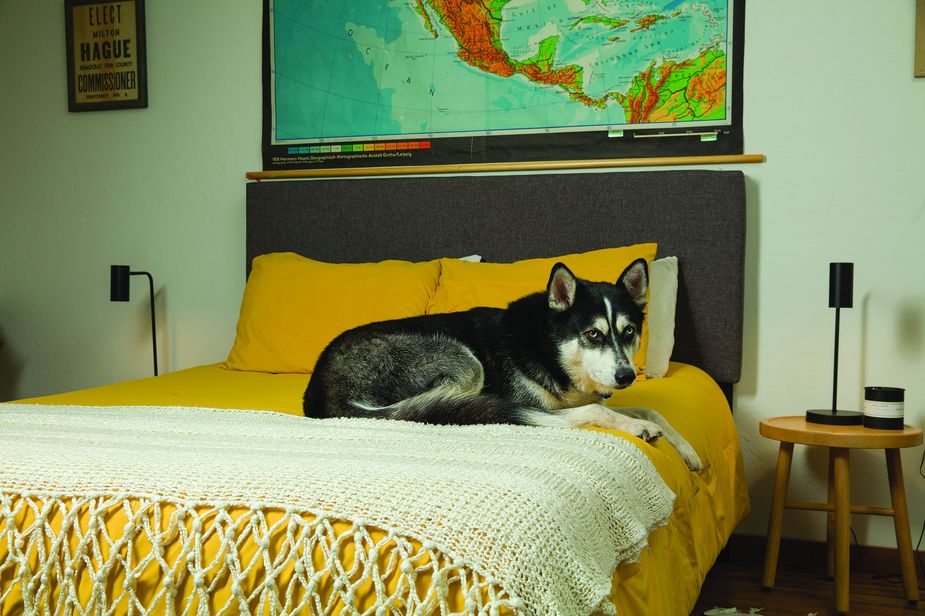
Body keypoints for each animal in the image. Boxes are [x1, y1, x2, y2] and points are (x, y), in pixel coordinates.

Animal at [304, 260, 700, 472]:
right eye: (593, 334)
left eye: (629, 331)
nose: (626, 376)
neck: (547, 348)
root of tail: (321, 392)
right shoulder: (542, 403)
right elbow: (601, 411)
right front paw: (637, 427)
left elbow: (651, 409)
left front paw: (688, 450)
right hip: (463, 361)